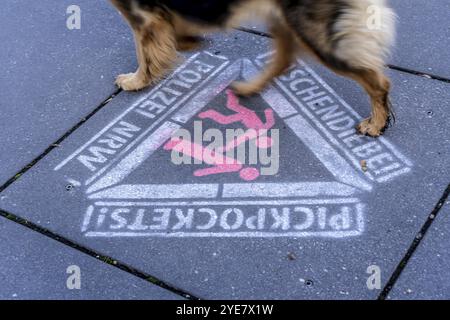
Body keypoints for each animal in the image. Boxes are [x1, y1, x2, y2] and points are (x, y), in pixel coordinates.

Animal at [110, 0, 396, 136]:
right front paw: (187, 40)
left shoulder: (143, 15)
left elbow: (144, 53)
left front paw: (137, 81)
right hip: (283, 19)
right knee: (283, 59)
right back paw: (250, 87)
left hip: (313, 32)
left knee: (377, 81)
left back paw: (376, 124)